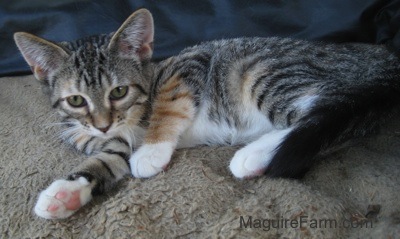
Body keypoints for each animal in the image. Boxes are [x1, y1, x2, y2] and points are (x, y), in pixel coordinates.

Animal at [14, 8, 400, 219]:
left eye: (119, 92)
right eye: (76, 100)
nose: (103, 124)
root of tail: (382, 57)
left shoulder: (187, 64)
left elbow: (167, 107)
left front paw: (151, 151)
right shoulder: (109, 139)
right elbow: (108, 158)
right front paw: (65, 193)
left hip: (267, 69)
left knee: (331, 113)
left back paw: (251, 156)